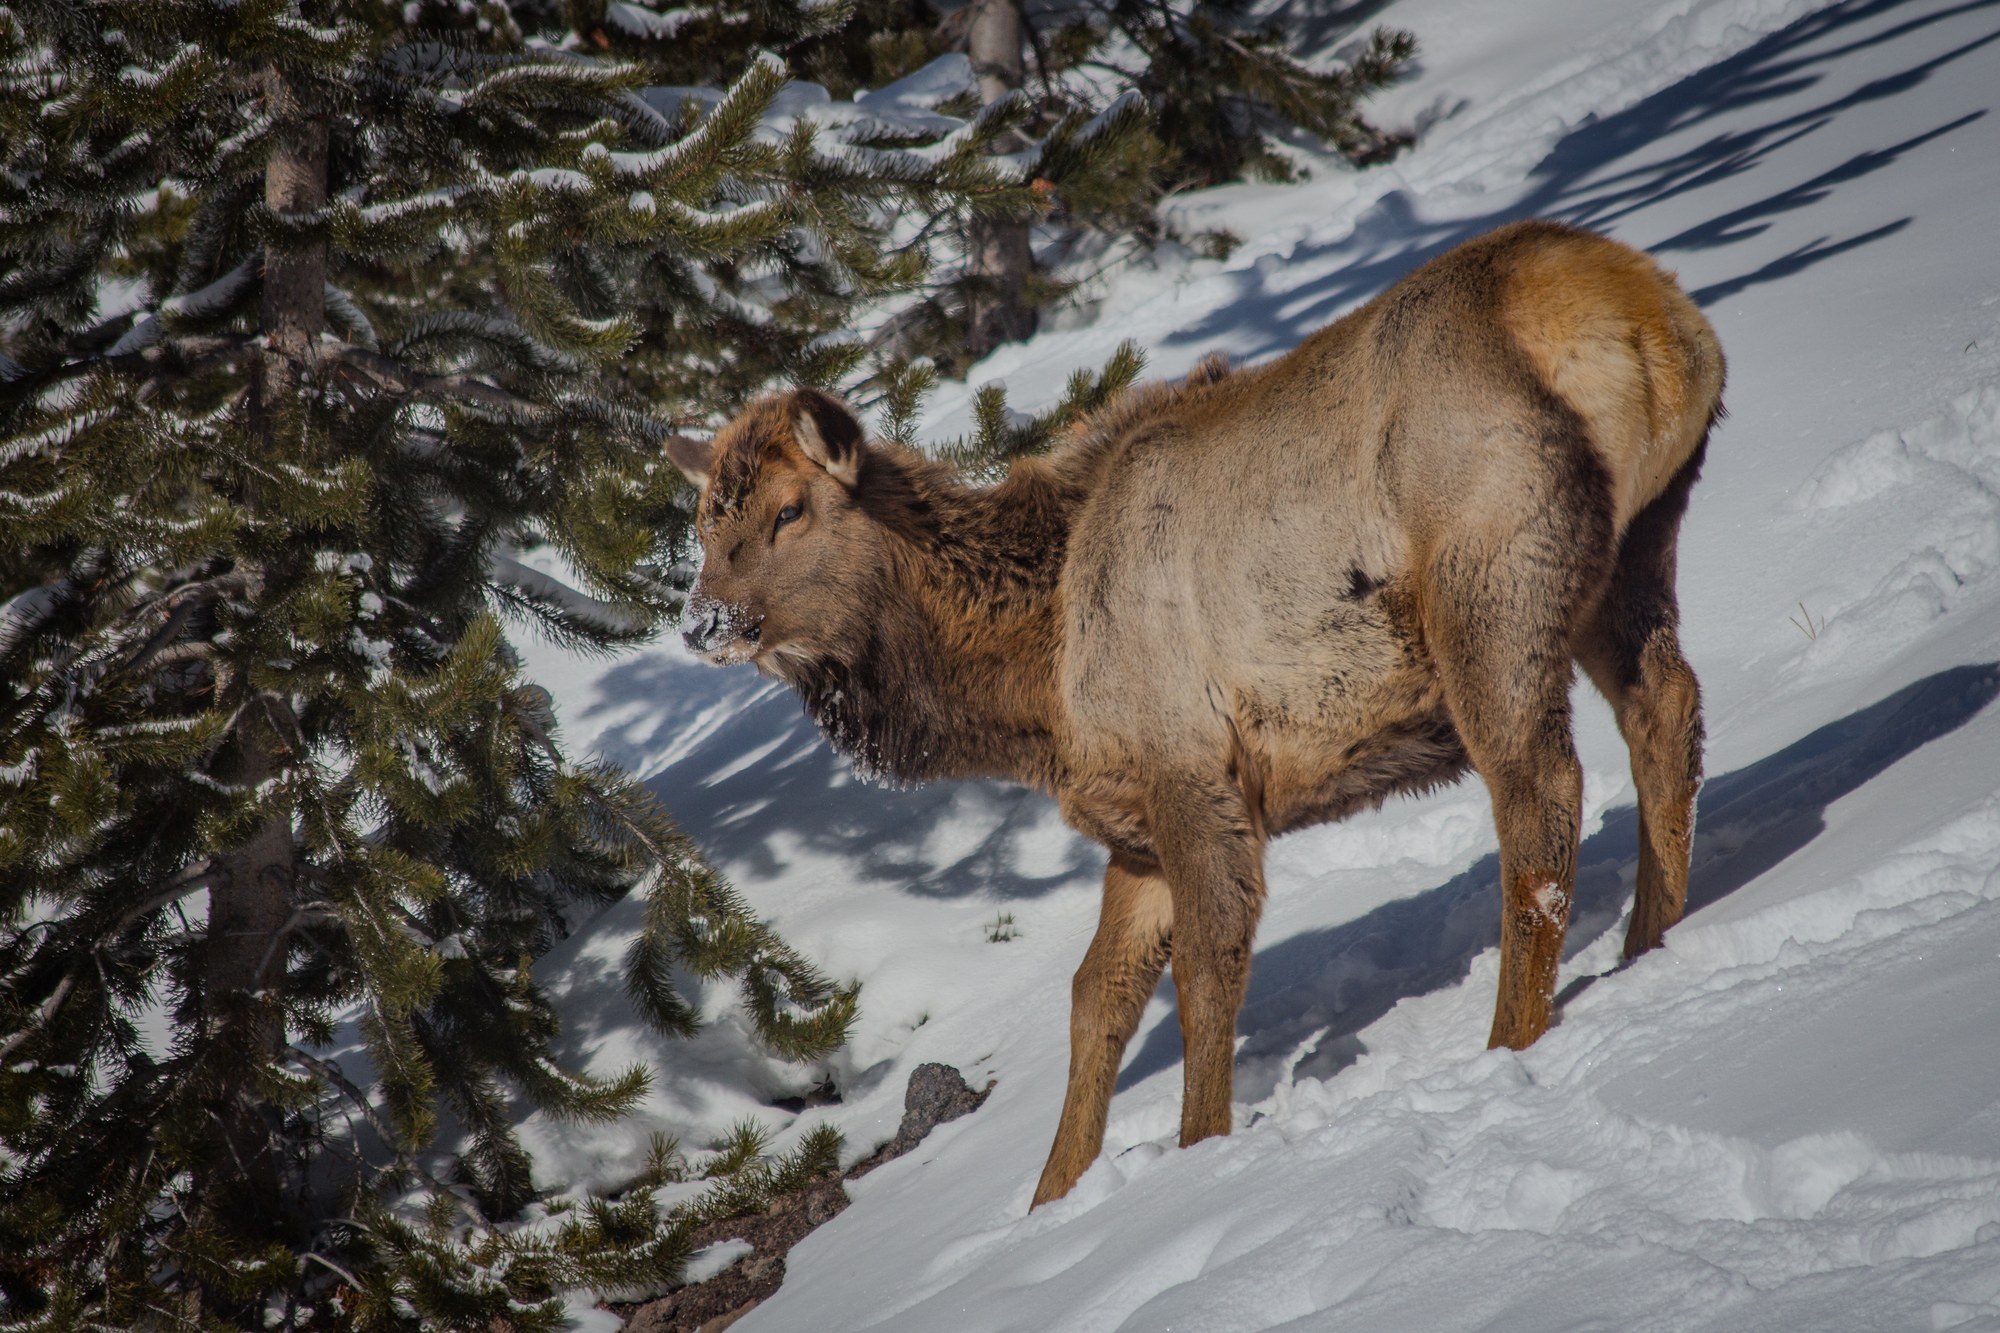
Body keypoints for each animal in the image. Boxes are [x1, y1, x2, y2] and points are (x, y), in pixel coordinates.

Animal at [664, 219, 1725, 1207]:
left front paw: (1196, 1149)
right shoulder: (1132, 822)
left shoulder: (1190, 765)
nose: (702, 620)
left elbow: (1210, 965)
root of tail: (1649, 316)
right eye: (704, 523)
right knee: (1666, 710)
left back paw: (1512, 1035)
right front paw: (1051, 1195)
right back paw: (1651, 939)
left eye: (789, 510)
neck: (1038, 687)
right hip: (1635, 544)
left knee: (1537, 797)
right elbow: (1096, 994)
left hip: (1491, 586)